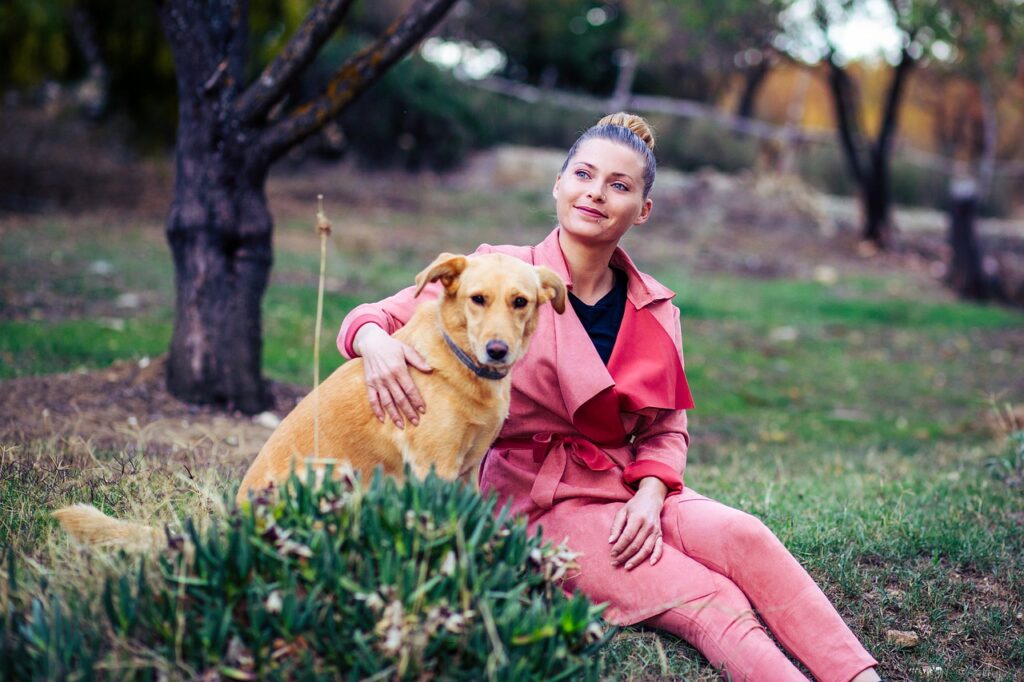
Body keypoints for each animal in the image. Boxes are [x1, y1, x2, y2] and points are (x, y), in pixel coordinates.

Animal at [54, 250, 569, 548]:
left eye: (520, 302)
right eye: (477, 299)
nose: (498, 350)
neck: (460, 362)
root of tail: (234, 520)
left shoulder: (466, 470)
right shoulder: (434, 469)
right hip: (333, 477)